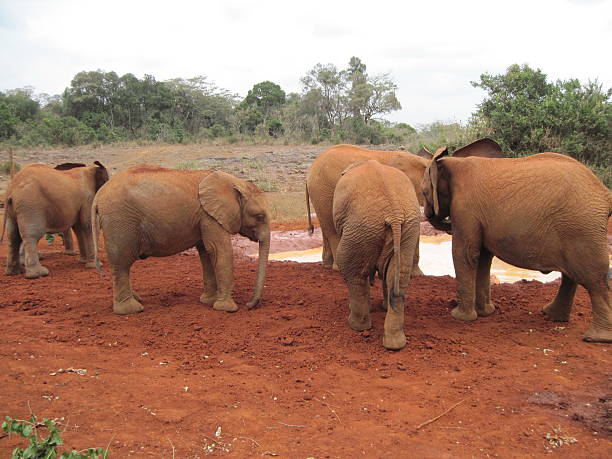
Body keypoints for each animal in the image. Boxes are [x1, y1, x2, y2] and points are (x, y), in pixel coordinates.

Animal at [92, 165, 268, 316]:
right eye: (259, 216)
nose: (249, 305)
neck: (235, 182)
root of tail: (99, 194)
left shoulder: (204, 216)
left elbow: (206, 252)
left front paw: (208, 301)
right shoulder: (210, 216)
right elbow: (219, 250)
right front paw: (227, 309)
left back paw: (136, 300)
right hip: (119, 221)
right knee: (122, 263)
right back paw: (131, 310)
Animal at [332, 160, 424, 350]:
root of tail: (395, 214)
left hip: (361, 228)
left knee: (355, 273)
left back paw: (357, 326)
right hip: (407, 228)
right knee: (399, 276)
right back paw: (395, 344)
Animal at [420, 147, 612, 342]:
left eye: (423, 192)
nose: (444, 222)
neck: (452, 161)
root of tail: (605, 193)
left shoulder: (464, 209)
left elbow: (465, 253)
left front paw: (460, 317)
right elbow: (483, 257)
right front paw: (486, 313)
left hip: (583, 227)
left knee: (593, 280)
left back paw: (596, 337)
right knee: (572, 276)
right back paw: (551, 316)